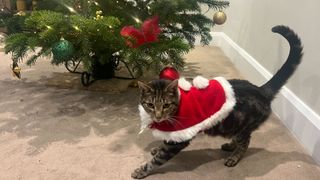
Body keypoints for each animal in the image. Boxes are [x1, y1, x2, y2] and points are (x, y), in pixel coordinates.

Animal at [131, 25, 304, 179]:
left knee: (246, 141)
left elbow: (157, 159)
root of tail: (261, 90)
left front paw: (142, 170)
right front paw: (157, 148)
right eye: (150, 105)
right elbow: (163, 144)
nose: (158, 116)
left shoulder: (180, 138)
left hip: (241, 126)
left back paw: (234, 156)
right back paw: (230, 145)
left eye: (166, 105)